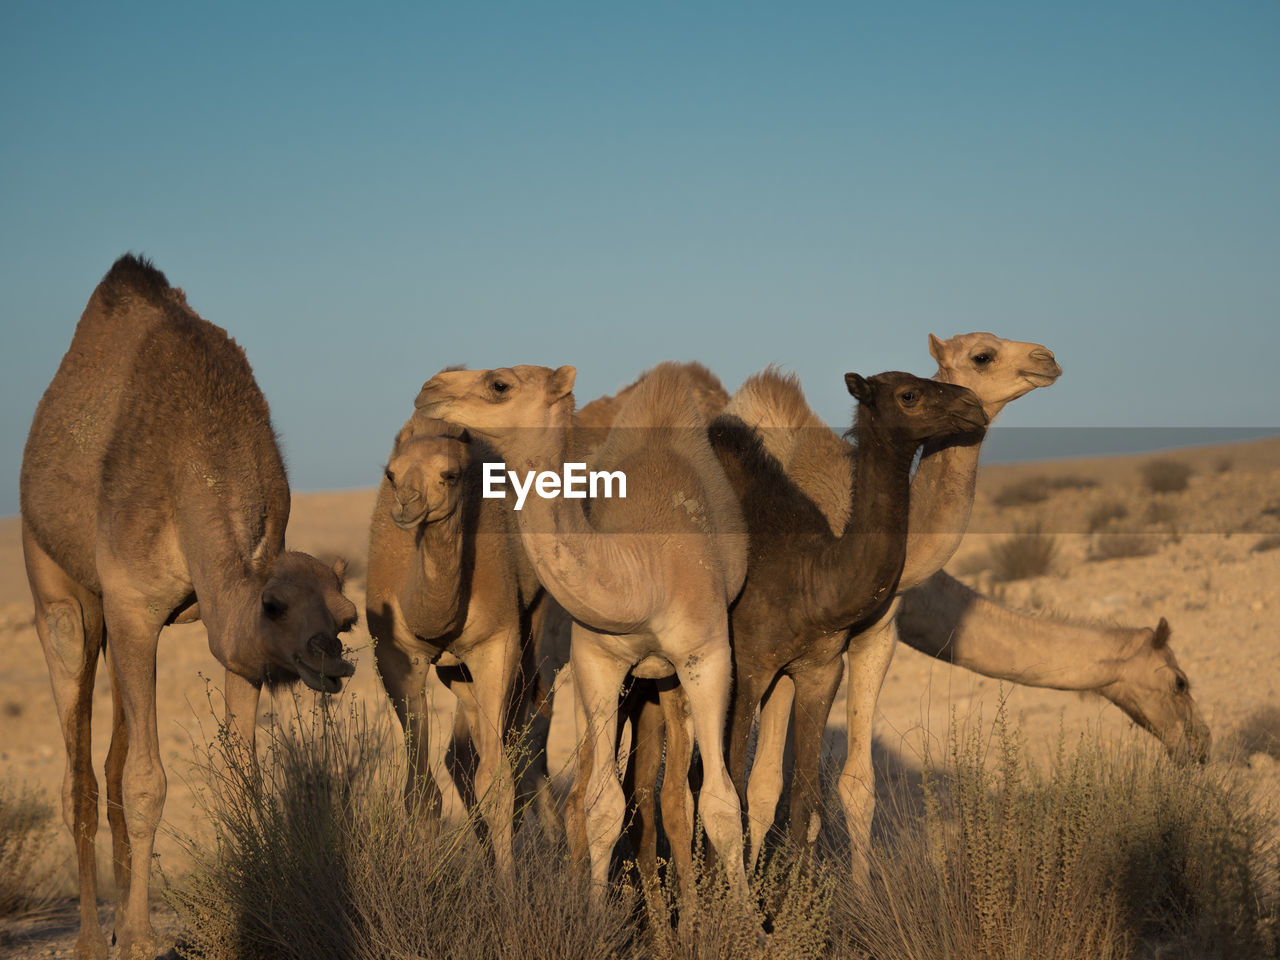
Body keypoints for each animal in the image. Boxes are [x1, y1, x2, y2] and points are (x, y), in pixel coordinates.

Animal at [20, 256, 358, 960]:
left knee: (110, 761)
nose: (331, 663)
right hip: (56, 580)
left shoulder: (233, 644)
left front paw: (260, 916)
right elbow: (146, 781)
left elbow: (241, 776)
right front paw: (141, 939)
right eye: (274, 606)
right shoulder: (134, 604)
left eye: (348, 617)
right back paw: (93, 939)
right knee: (80, 771)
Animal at [366, 417, 555, 885]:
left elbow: (497, 780)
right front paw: (421, 882)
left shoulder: (495, 644)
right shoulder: (396, 656)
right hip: (456, 672)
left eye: (449, 475)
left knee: (521, 732)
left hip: (533, 626)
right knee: (462, 756)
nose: (407, 505)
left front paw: (506, 888)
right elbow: (420, 791)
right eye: (392, 474)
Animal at [409, 366, 747, 901]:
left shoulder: (708, 656)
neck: (643, 575)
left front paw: (746, 917)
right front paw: (593, 911)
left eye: (500, 384)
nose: (430, 388)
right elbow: (603, 806)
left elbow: (723, 804)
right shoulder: (597, 659)